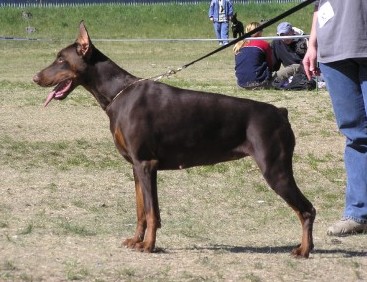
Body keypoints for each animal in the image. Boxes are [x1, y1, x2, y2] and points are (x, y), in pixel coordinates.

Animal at [33, 20, 316, 256]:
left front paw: (148, 246)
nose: (35, 77)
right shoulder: (137, 167)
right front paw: (136, 240)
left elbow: (152, 212)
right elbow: (141, 210)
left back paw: (303, 250)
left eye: (61, 59)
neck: (118, 94)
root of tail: (281, 112)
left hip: (275, 169)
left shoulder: (146, 164)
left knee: (306, 209)